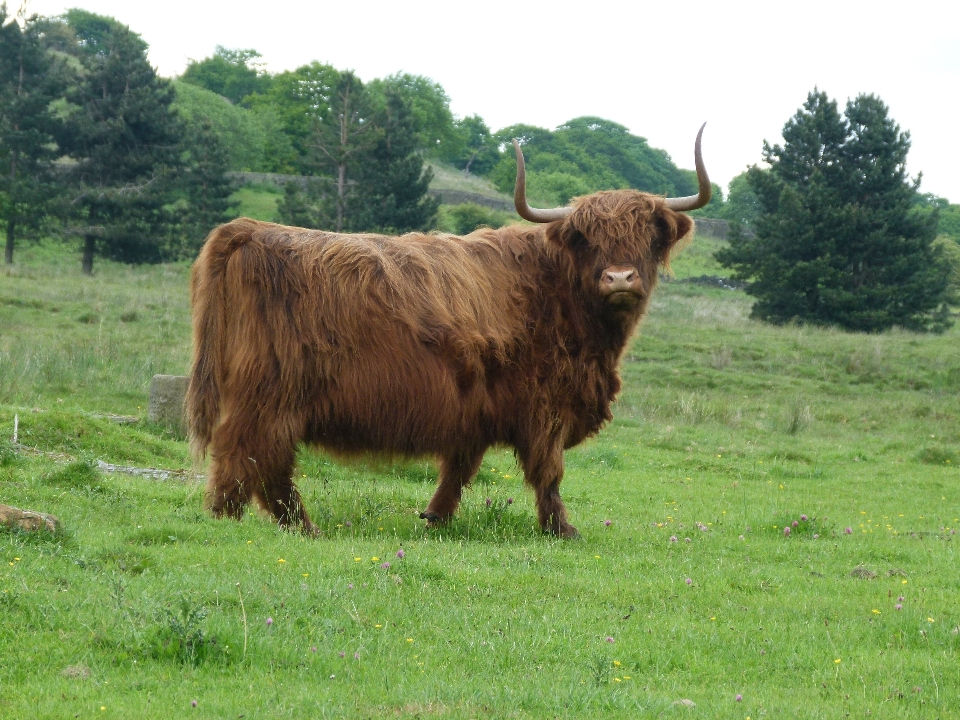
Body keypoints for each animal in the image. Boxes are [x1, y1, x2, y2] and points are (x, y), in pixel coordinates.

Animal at [189, 124, 712, 536]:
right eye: (588, 239)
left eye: (648, 233)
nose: (620, 279)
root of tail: (249, 230)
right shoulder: (546, 406)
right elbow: (549, 473)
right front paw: (561, 529)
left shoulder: (474, 406)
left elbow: (461, 467)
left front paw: (435, 517)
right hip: (272, 393)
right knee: (250, 455)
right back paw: (252, 521)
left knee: (256, 461)